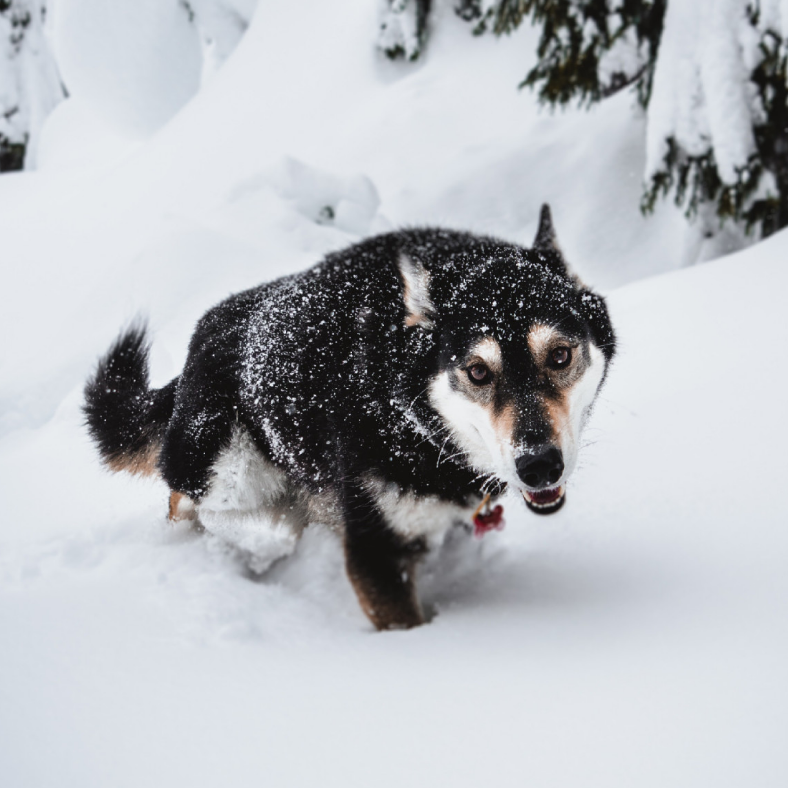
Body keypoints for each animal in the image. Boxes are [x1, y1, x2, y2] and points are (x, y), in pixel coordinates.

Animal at [84, 206, 616, 632]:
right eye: (479, 371)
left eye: (560, 355)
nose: (539, 465)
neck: (414, 422)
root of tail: (200, 340)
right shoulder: (374, 549)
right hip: (227, 473)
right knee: (183, 495)